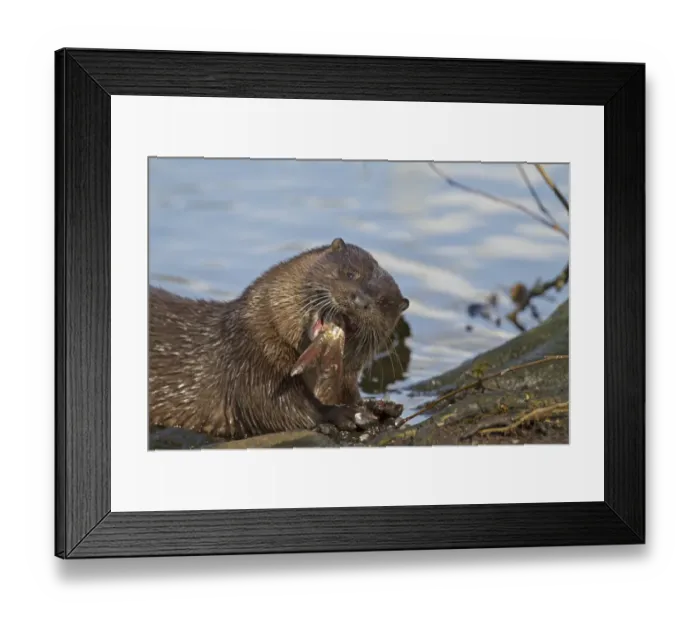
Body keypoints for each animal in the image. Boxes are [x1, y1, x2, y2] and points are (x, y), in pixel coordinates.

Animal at [148, 238, 410, 440]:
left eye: (384, 302)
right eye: (351, 273)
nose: (361, 300)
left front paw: (381, 408)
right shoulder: (250, 366)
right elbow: (275, 409)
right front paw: (346, 414)